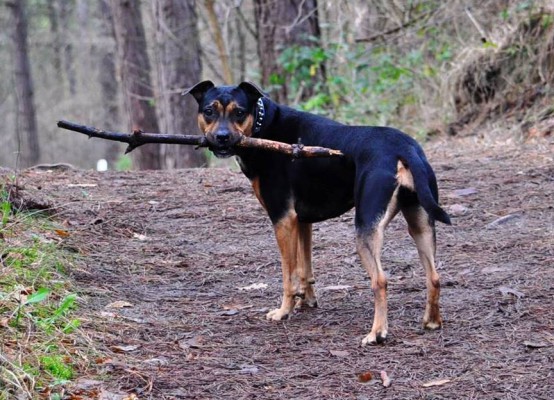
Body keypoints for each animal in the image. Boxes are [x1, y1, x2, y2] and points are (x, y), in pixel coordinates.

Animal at [183, 80, 450, 344]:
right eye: (209, 111)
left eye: (239, 112)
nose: (222, 137)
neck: (262, 127)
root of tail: (404, 149)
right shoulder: (302, 220)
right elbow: (304, 267)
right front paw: (307, 301)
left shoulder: (282, 218)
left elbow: (288, 275)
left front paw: (284, 311)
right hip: (420, 222)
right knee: (434, 277)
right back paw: (432, 321)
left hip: (366, 227)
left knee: (380, 281)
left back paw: (377, 332)